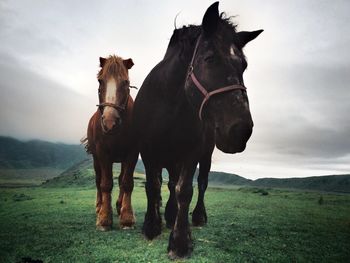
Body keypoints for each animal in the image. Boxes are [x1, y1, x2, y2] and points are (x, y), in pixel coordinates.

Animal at [83, 55, 137, 231]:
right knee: (98, 180)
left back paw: (119, 206)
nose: (109, 122)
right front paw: (104, 218)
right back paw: (99, 206)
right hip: (95, 159)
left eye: (126, 82)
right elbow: (105, 184)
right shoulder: (102, 153)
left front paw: (126, 217)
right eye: (100, 81)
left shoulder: (132, 153)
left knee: (120, 179)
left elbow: (126, 182)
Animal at [133, 1, 262, 258]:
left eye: (244, 65)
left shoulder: (191, 153)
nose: (241, 130)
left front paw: (180, 241)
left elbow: (185, 190)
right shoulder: (148, 151)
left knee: (201, 183)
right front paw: (151, 225)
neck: (169, 105)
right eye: (210, 58)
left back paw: (196, 216)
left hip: (205, 155)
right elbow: (153, 186)